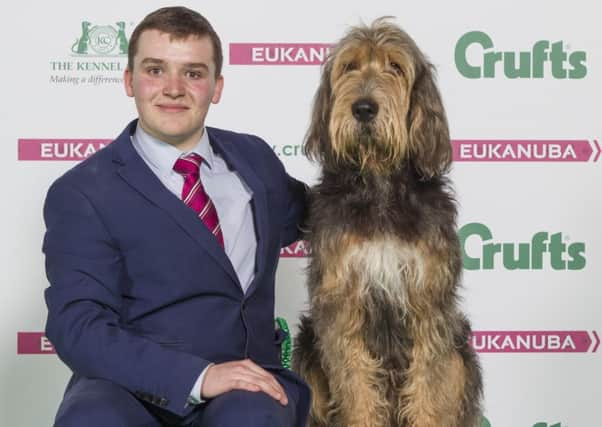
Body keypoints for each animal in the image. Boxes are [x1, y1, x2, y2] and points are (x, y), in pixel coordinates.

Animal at [292, 18, 480, 426]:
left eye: (395, 67)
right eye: (349, 66)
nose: (364, 109)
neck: (379, 186)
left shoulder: (428, 302)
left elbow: (428, 387)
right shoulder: (342, 300)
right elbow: (355, 386)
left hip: (461, 351)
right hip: (306, 347)